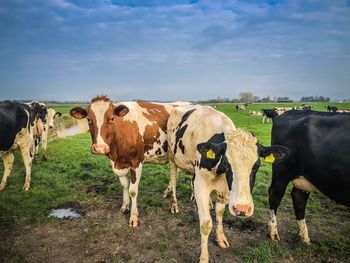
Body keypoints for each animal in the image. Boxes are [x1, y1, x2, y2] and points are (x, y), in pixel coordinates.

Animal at [68, 96, 189, 228]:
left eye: (112, 118)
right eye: (89, 119)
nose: (99, 148)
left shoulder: (136, 163)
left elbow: (133, 191)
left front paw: (134, 217)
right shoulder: (118, 164)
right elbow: (124, 185)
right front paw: (125, 207)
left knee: (175, 176)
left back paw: (174, 204)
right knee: (174, 175)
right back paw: (168, 192)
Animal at [167, 105, 290, 263]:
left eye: (257, 166)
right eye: (227, 163)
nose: (242, 209)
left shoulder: (225, 190)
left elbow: (219, 213)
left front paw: (220, 238)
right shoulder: (201, 185)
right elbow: (206, 224)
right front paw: (204, 257)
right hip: (172, 157)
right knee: (173, 179)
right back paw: (174, 205)